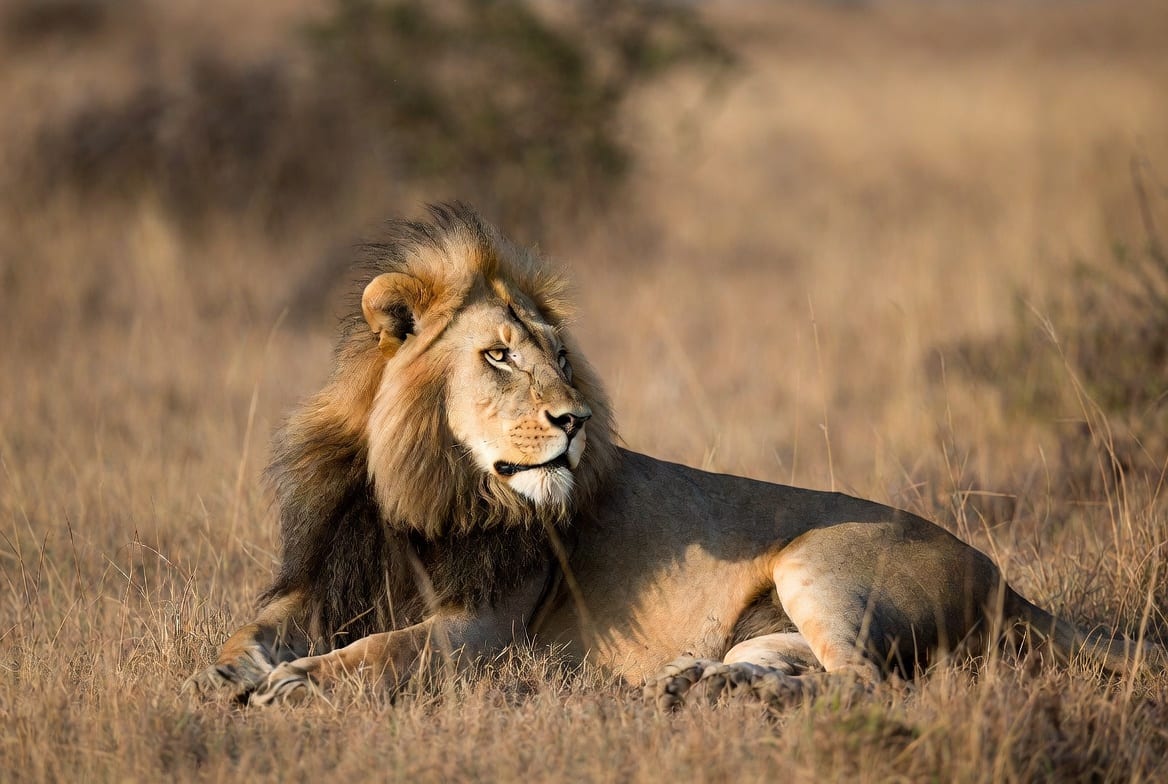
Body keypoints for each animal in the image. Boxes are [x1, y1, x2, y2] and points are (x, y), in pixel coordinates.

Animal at [185, 203, 1162, 708]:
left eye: (560, 355)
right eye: (498, 356)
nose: (575, 418)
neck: (414, 493)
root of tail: (1006, 579)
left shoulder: (487, 629)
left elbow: (382, 650)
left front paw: (294, 685)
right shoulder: (314, 586)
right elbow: (244, 636)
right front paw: (222, 675)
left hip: (820, 559)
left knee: (865, 684)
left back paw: (734, 694)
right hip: (775, 612)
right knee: (797, 661)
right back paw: (699, 680)